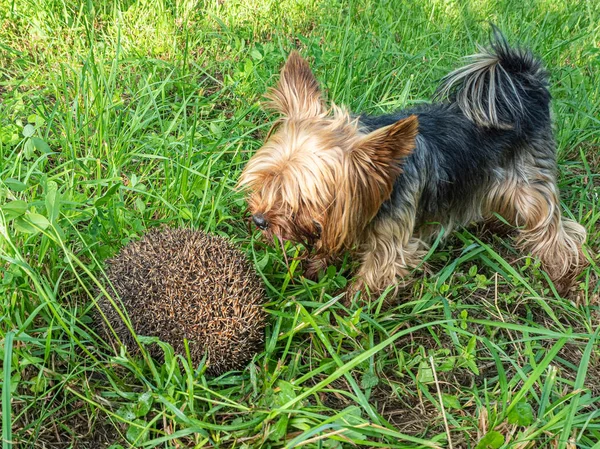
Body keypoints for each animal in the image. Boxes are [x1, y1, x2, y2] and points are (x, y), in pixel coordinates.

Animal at [238, 29, 584, 300]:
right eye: (263, 183)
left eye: (302, 201)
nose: (259, 220)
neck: (382, 184)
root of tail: (525, 86)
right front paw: (316, 267)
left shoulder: (393, 243)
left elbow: (375, 275)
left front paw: (350, 309)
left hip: (531, 187)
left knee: (554, 229)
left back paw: (561, 274)